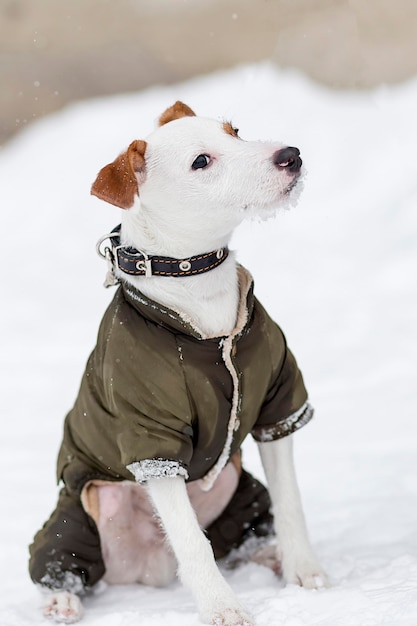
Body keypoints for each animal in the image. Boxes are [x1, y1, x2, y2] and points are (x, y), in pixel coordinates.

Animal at [30, 100, 328, 620]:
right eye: (201, 161)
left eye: (235, 131)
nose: (290, 155)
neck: (197, 289)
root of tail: (149, 569)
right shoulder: (153, 443)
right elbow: (192, 540)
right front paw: (221, 608)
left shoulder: (278, 405)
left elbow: (290, 501)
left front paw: (303, 572)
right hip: (83, 510)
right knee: (64, 559)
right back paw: (61, 596)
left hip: (238, 487)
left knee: (241, 536)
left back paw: (268, 555)